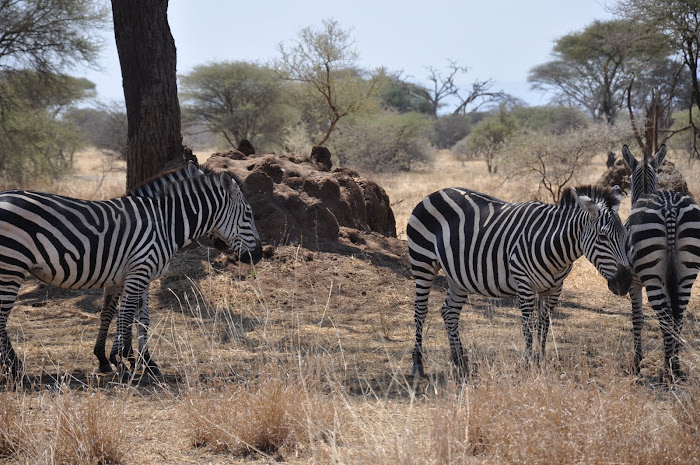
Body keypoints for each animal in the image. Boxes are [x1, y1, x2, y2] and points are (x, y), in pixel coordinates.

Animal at [0, 162, 262, 380]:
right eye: (249, 214)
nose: (258, 255)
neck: (165, 223)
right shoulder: (139, 270)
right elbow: (125, 316)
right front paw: (122, 362)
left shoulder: (137, 275)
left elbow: (139, 318)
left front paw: (141, 361)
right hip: (11, 267)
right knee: (2, 318)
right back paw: (14, 368)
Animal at [408, 183, 632, 376]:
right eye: (603, 237)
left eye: (625, 234)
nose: (625, 283)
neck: (553, 245)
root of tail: (436, 192)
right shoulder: (525, 284)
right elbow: (528, 326)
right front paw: (528, 364)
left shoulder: (554, 288)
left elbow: (544, 325)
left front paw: (541, 361)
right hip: (423, 263)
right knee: (420, 312)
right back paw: (418, 364)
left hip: (458, 276)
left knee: (449, 312)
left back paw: (459, 360)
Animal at [624, 146, 700, 380]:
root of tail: (670, 207)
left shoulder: (634, 282)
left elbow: (637, 318)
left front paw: (637, 363)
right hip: (686, 273)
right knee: (678, 316)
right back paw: (675, 366)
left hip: (652, 276)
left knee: (666, 316)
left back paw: (667, 370)